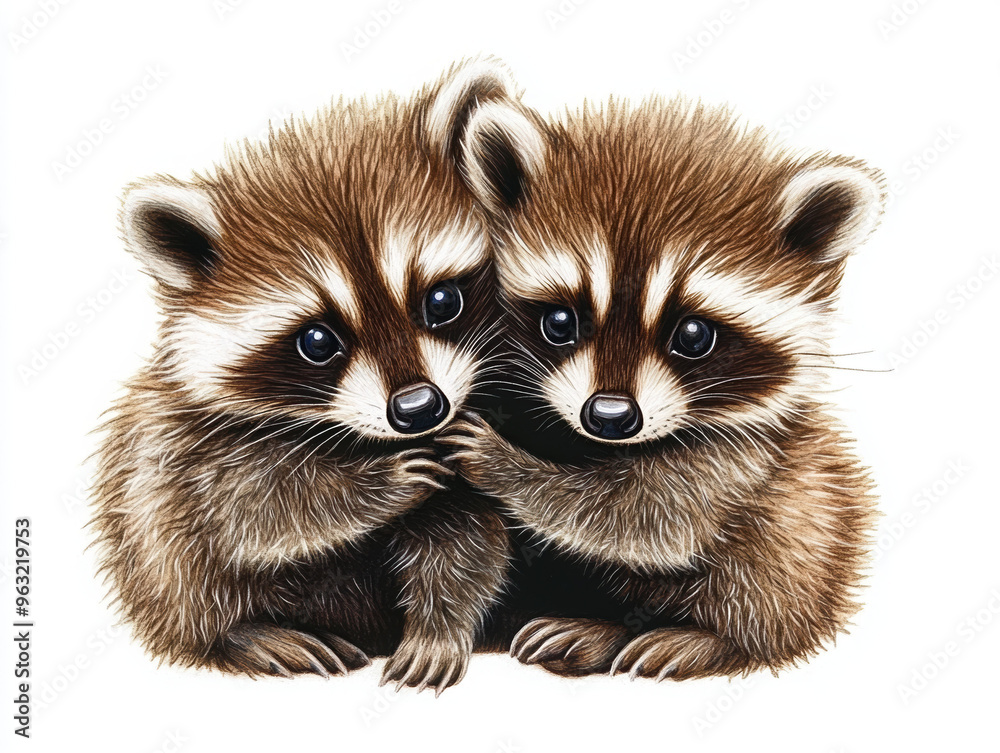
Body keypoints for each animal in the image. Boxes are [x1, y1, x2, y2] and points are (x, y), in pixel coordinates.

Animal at [90, 59, 520, 692]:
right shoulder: (188, 435)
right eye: (318, 340)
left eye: (441, 300)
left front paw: (438, 628)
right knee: (175, 557)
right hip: (147, 528)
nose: (418, 407)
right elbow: (249, 509)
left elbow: (465, 541)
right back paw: (243, 633)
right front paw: (371, 487)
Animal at [444, 97, 885, 679]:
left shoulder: (738, 459)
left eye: (693, 335)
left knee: (769, 572)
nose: (609, 415)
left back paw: (709, 638)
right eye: (561, 321)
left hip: (811, 532)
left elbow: (646, 520)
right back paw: (598, 629)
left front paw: (508, 466)